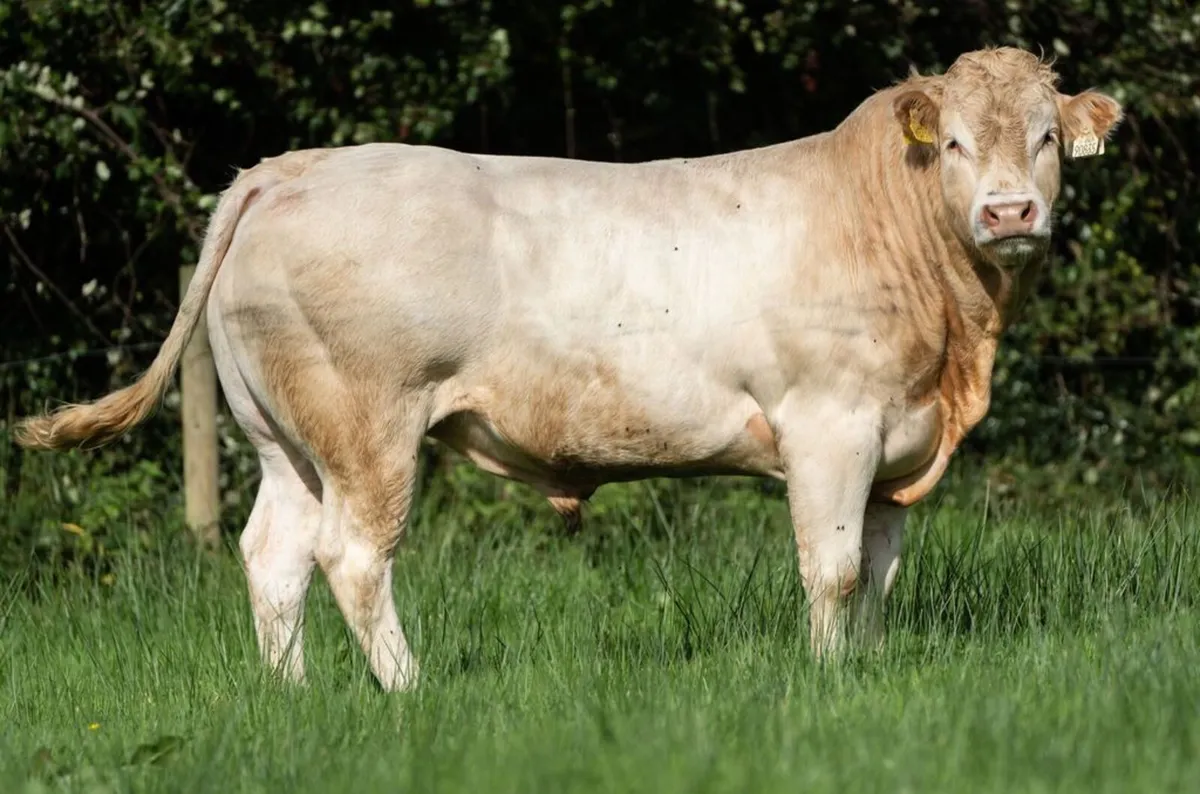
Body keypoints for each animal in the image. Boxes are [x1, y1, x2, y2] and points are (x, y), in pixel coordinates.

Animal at [14, 47, 1123, 691]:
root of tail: (292, 166)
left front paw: (871, 670)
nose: (1011, 212)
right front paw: (825, 679)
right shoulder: (831, 424)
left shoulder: (897, 440)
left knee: (271, 557)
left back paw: (293, 696)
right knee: (352, 557)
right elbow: (834, 566)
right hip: (368, 422)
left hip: (283, 437)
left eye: (1044, 138)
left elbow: (882, 570)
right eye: (956, 144)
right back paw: (409, 690)